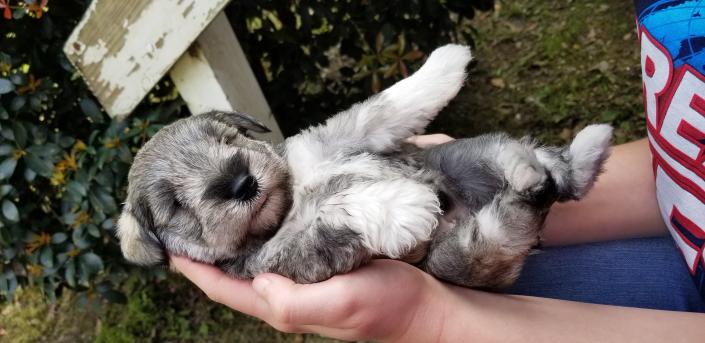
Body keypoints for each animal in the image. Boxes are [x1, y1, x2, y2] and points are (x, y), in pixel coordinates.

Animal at [117, 45, 612, 290]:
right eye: (175, 205)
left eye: (226, 138)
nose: (240, 182)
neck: (292, 196)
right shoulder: (293, 257)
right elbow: (337, 214)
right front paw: (405, 207)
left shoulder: (336, 137)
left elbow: (382, 107)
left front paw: (445, 61)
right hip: (456, 259)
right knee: (513, 220)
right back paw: (531, 179)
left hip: (463, 156)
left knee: (556, 175)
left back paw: (564, 154)